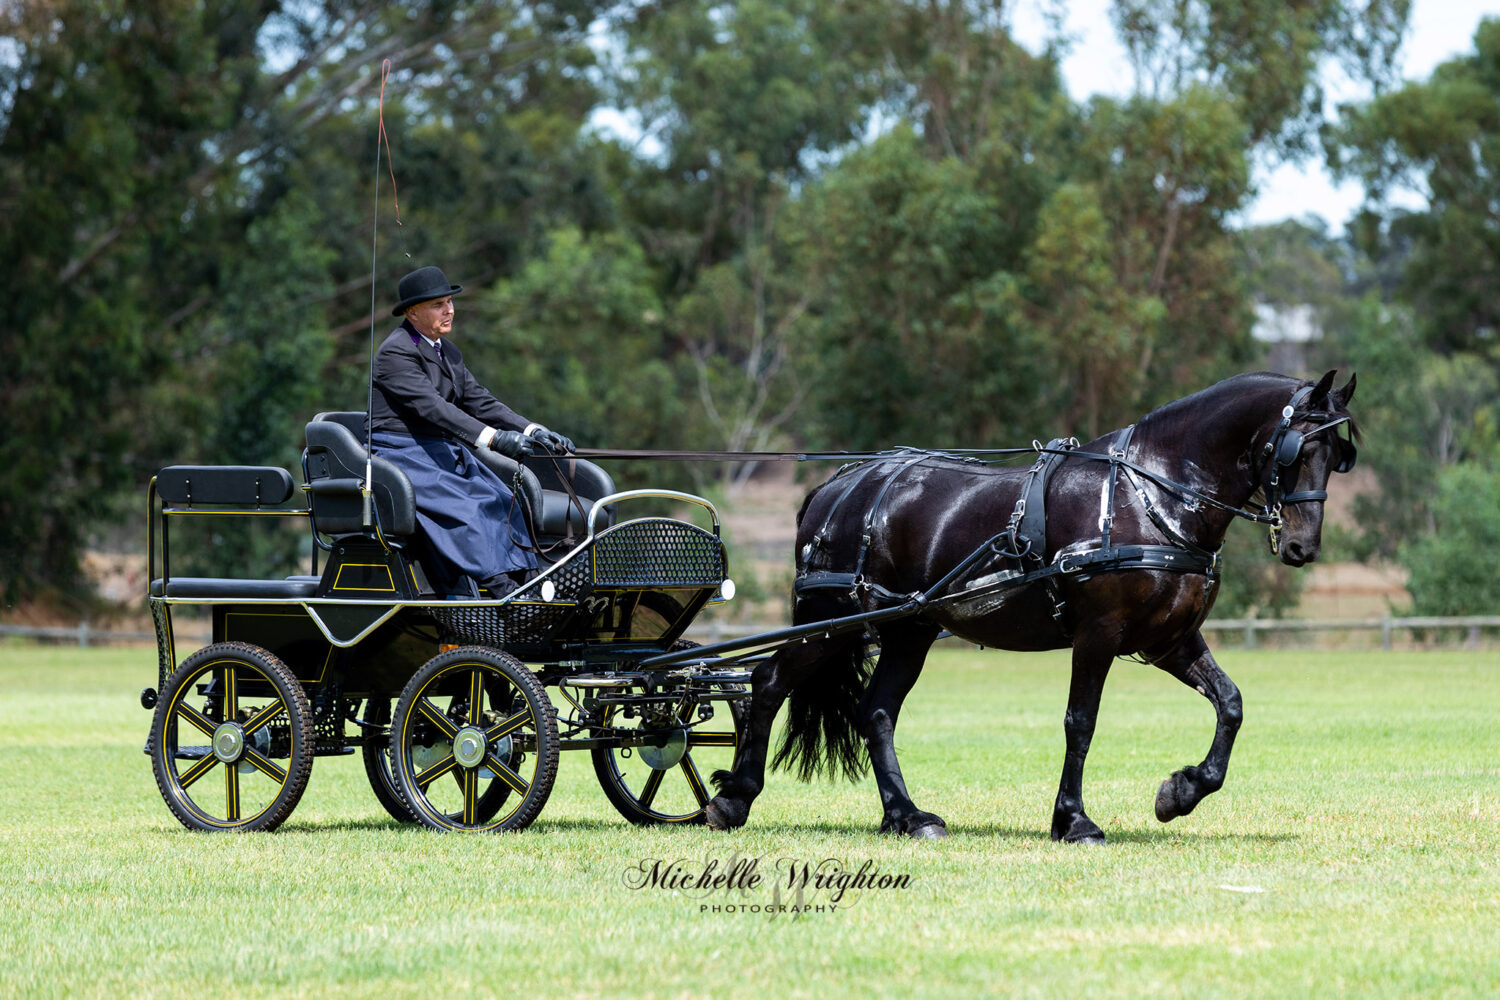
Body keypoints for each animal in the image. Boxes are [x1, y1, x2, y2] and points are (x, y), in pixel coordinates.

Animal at [702, 371, 1362, 839]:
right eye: (1297, 450)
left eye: (1338, 456)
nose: (1303, 546)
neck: (1149, 496)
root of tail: (838, 484)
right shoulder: (1099, 633)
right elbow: (1081, 722)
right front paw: (1073, 820)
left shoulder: (1168, 639)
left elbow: (1231, 703)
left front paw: (1181, 792)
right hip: (832, 624)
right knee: (766, 681)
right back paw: (732, 799)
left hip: (908, 629)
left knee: (877, 712)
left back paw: (907, 817)